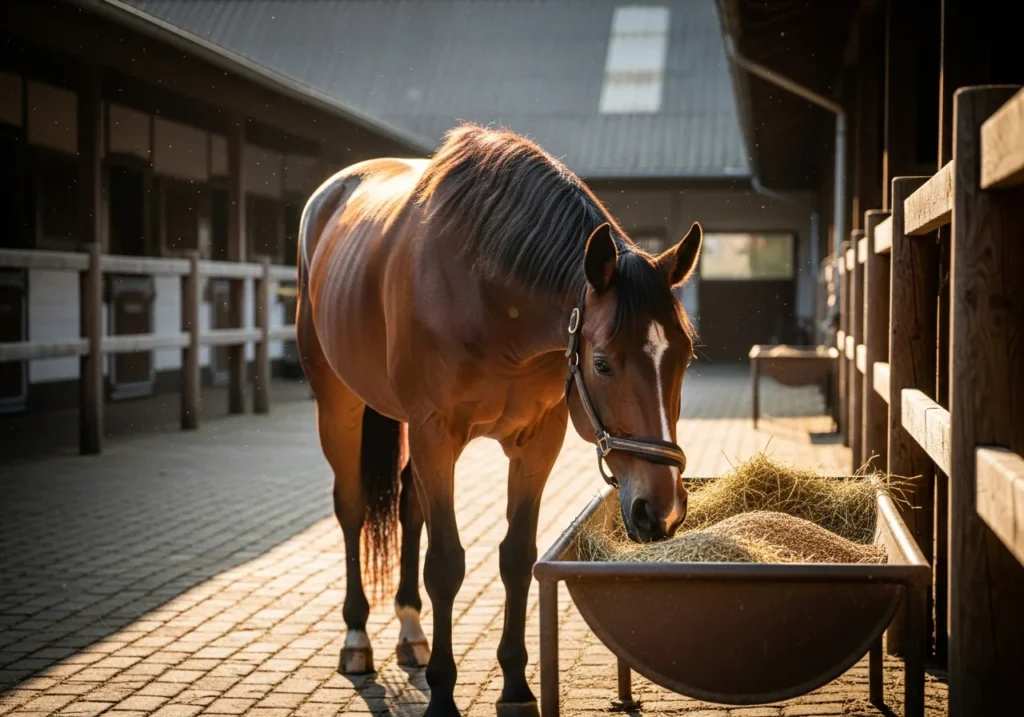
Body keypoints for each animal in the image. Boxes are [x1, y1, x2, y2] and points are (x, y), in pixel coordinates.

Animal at [296, 123, 702, 716]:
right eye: (602, 362)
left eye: (686, 357)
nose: (662, 508)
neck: (488, 291)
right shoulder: (436, 436)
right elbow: (446, 565)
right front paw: (444, 695)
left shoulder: (537, 442)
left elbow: (517, 557)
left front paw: (515, 686)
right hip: (339, 404)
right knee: (350, 507)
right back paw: (357, 639)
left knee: (408, 507)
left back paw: (411, 632)